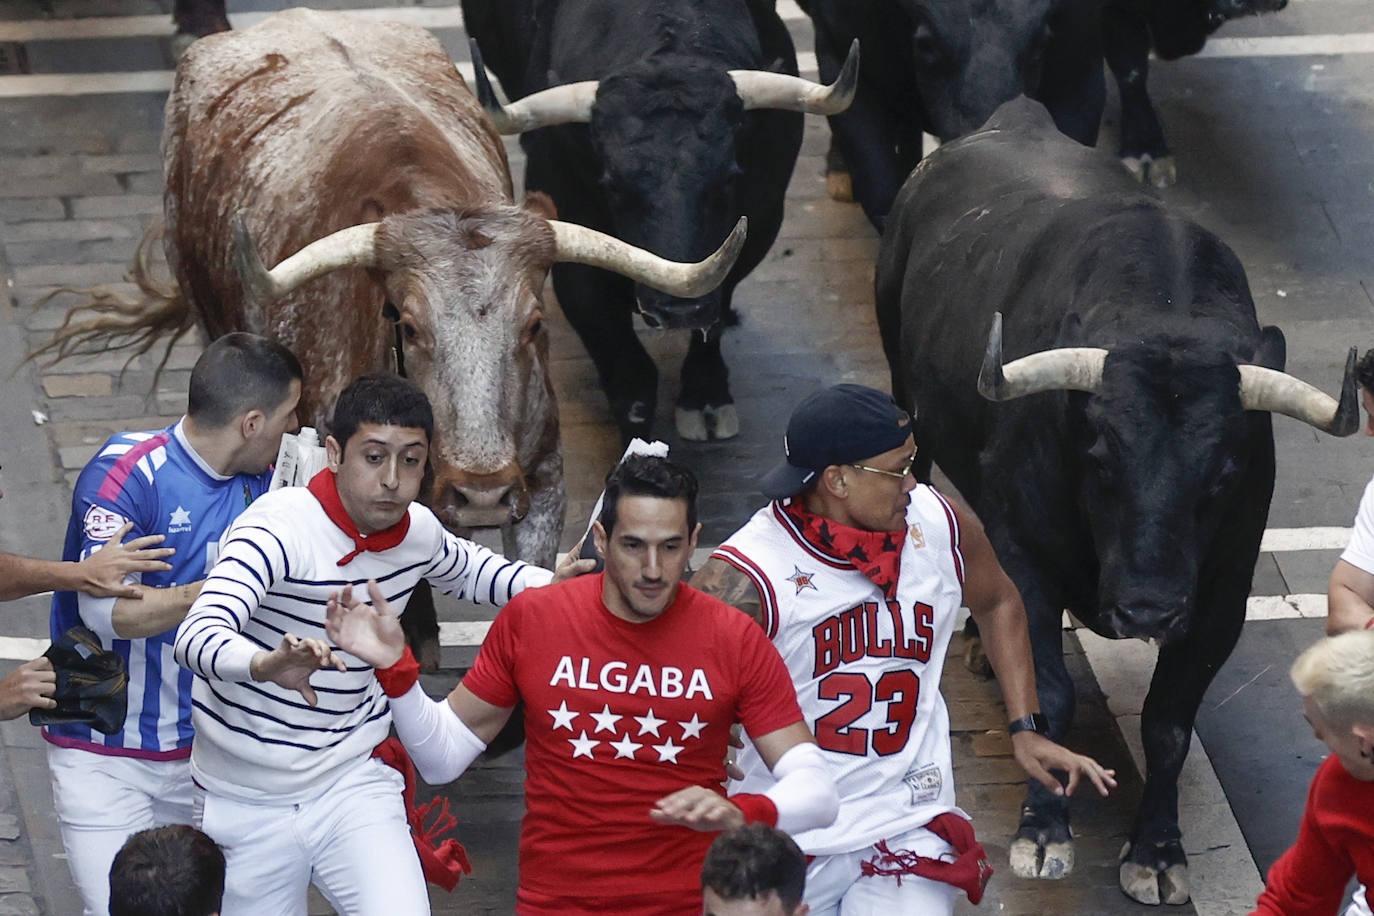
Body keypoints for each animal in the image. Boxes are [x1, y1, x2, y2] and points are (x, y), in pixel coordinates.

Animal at [873, 98, 1346, 900]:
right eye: (1099, 458)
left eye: (1225, 472)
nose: (1147, 610)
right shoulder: (1028, 561)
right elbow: (1049, 691)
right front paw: (1042, 831)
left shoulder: (1220, 596)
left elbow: (1168, 721)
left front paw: (1157, 851)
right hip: (906, 394)